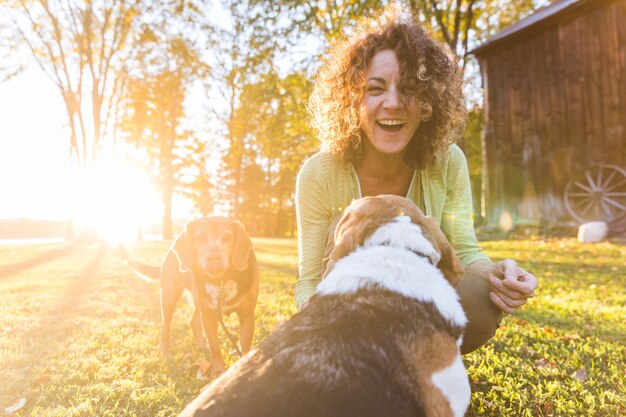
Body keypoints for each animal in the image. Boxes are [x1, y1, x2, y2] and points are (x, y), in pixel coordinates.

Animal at [125, 218, 258, 374]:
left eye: (227, 237)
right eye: (200, 237)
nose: (214, 260)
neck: (220, 280)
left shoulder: (247, 315)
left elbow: (245, 346)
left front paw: (242, 365)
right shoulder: (208, 315)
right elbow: (215, 347)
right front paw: (219, 371)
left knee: (193, 323)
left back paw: (202, 346)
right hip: (170, 297)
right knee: (165, 327)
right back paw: (165, 353)